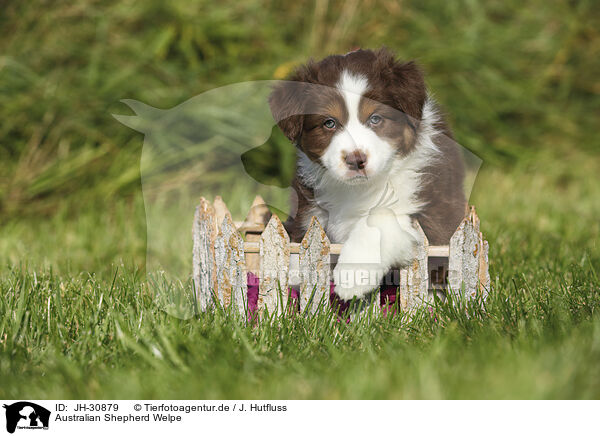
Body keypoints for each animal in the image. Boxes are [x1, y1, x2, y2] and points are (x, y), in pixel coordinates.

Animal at [270, 47, 466, 300]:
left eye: (375, 119)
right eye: (329, 123)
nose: (356, 160)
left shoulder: (432, 211)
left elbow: (380, 218)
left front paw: (352, 276)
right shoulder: (310, 208)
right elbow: (302, 240)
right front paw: (294, 273)